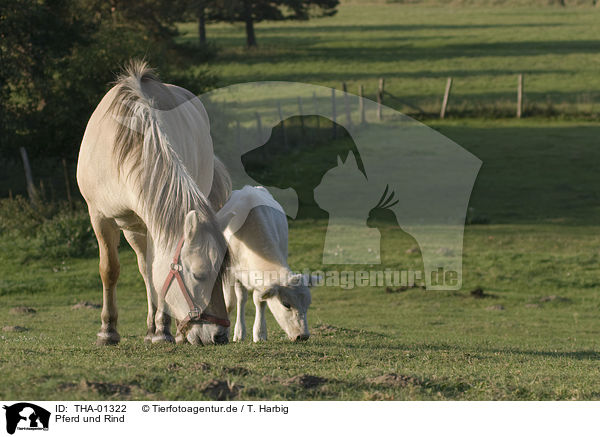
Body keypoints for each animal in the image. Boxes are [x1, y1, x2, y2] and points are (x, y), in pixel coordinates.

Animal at [76, 61, 231, 346]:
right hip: (132, 228)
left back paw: (164, 329)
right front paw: (107, 330)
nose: (219, 336)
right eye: (199, 275)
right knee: (145, 270)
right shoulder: (99, 217)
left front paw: (162, 330)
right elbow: (109, 270)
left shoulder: (153, 223)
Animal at [220, 186, 314, 342]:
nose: (303, 336)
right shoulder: (231, 272)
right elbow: (232, 302)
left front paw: (260, 334)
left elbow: (259, 301)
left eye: (308, 304)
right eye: (286, 304)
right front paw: (232, 333)